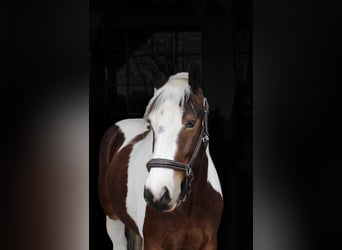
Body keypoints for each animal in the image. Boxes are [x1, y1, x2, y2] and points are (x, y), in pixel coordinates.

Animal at [97, 69, 223, 250]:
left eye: (191, 123)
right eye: (150, 124)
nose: (157, 194)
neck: (188, 208)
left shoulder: (209, 243)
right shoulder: (153, 243)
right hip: (113, 219)